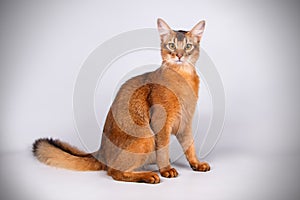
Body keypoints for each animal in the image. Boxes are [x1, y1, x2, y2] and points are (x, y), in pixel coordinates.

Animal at [32, 18, 210, 184]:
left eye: (188, 46)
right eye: (172, 45)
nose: (179, 55)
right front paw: (166, 169)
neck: (183, 77)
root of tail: (101, 153)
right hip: (146, 135)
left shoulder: (185, 123)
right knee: (114, 172)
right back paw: (148, 176)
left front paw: (196, 163)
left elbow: (190, 146)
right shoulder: (161, 123)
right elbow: (163, 148)